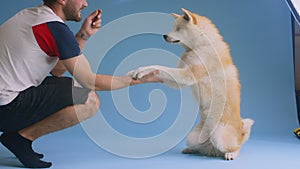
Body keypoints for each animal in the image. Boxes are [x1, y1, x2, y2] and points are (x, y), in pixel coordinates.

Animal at [126, 8, 253, 160]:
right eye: (173, 27)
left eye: (178, 29)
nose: (164, 36)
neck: (199, 47)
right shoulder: (179, 80)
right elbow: (159, 70)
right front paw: (136, 71)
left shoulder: (186, 75)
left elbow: (160, 67)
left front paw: (141, 71)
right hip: (192, 137)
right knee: (202, 148)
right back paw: (191, 150)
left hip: (219, 135)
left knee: (236, 146)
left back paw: (231, 153)